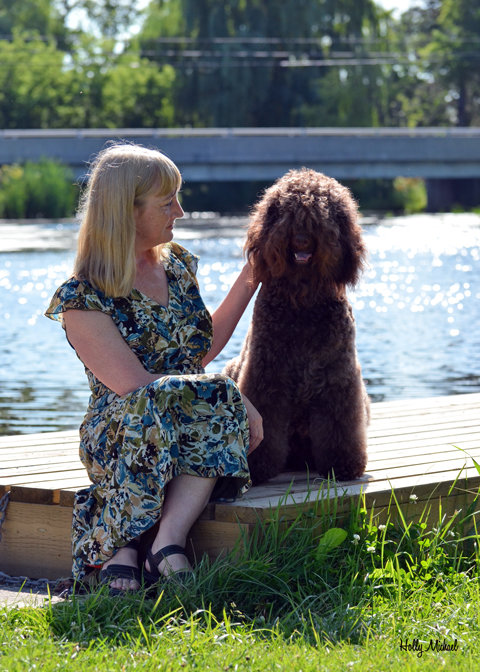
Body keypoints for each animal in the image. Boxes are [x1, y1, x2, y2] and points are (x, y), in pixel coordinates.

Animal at [224, 168, 369, 484]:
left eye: (324, 214)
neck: (302, 302)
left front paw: (343, 464)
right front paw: (258, 465)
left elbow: (340, 428)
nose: (302, 240)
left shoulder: (338, 381)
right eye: (286, 213)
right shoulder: (266, 378)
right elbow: (266, 424)